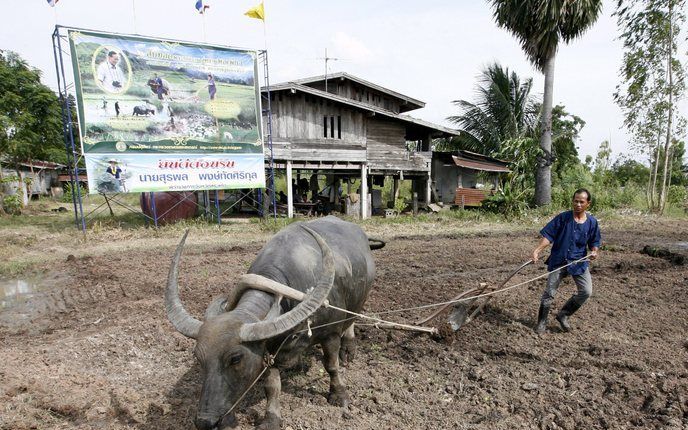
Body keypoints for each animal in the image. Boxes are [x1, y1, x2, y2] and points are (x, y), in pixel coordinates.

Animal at [166, 217, 382, 428]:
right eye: (198, 357)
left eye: (235, 359)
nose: (205, 422)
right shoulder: (268, 347)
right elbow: (271, 386)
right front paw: (271, 418)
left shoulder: (331, 334)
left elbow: (331, 365)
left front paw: (339, 395)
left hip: (360, 299)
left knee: (352, 320)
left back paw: (348, 350)